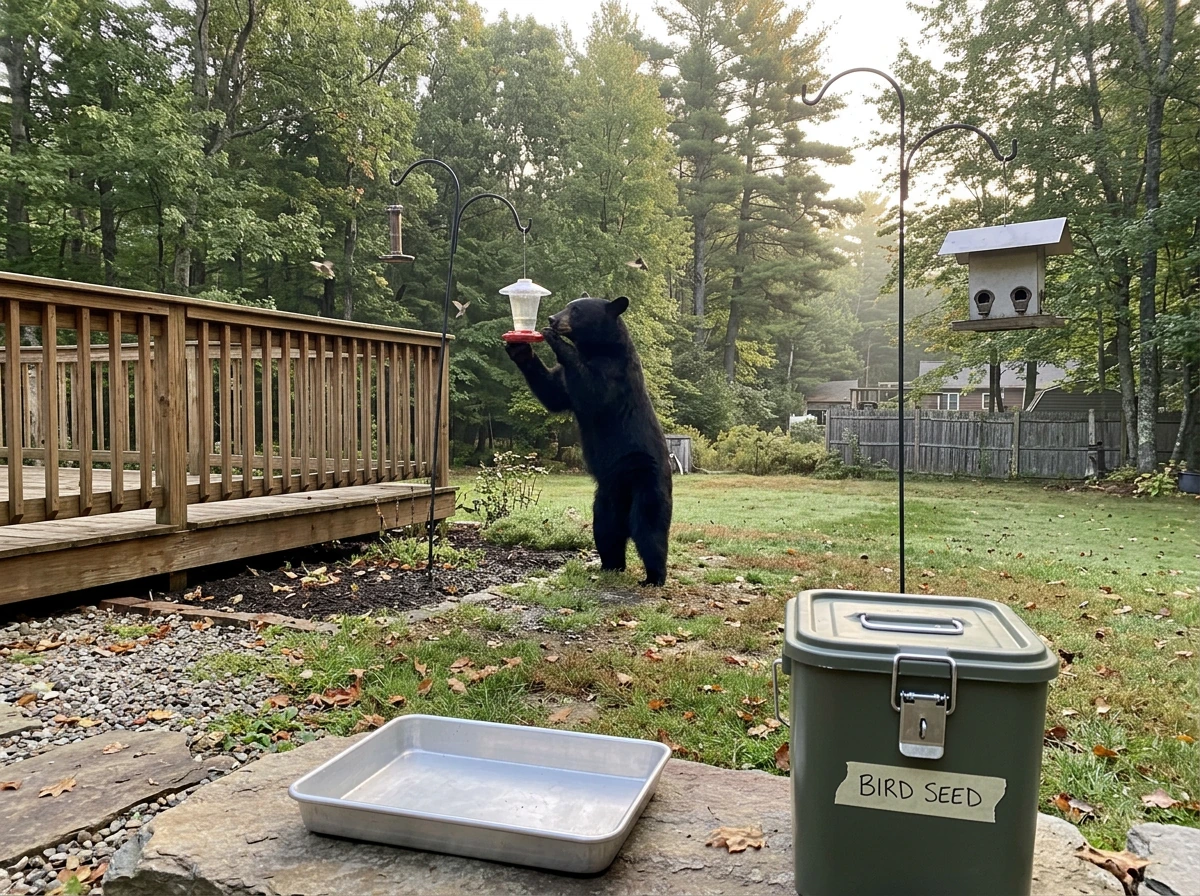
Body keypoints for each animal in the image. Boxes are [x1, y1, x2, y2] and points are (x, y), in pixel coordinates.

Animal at [505, 296, 672, 586]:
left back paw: (654, 576)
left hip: (646, 481)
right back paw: (610, 565)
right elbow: (554, 392)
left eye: (576, 310)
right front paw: (520, 350)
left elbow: (593, 388)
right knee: (606, 530)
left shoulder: (616, 374)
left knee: (649, 530)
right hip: (607, 498)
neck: (599, 349)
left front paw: (556, 340)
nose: (552, 319)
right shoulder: (567, 382)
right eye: (568, 306)